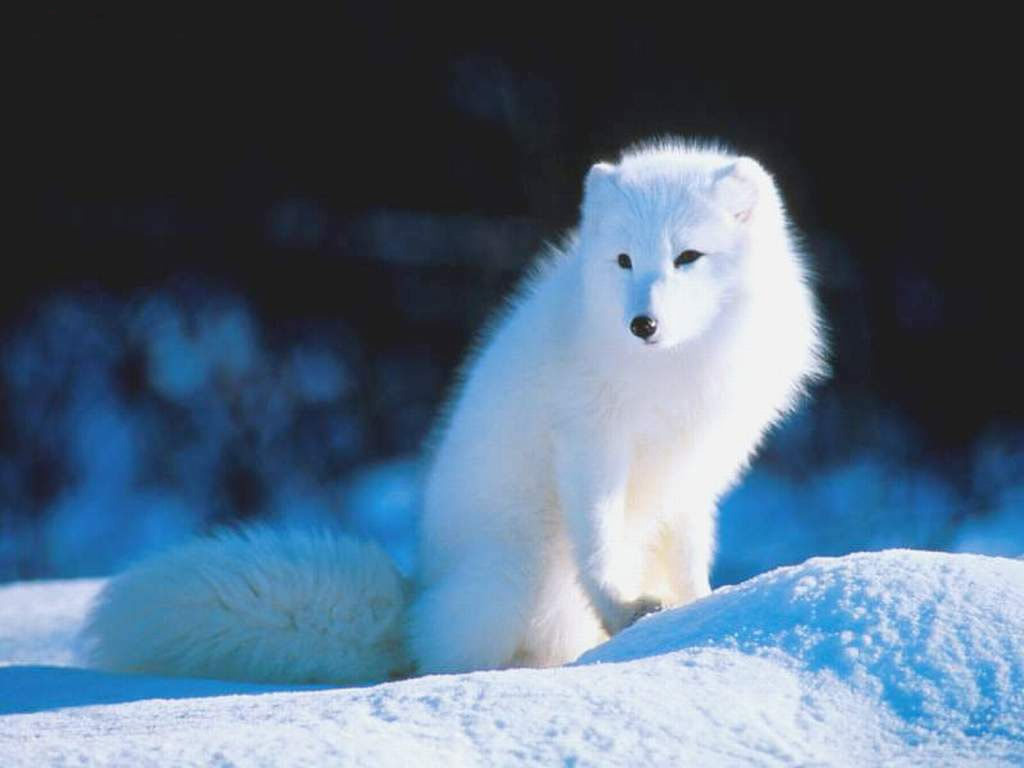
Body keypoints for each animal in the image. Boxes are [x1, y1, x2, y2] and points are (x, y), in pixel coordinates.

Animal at [83, 139, 825, 684]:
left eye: (688, 256)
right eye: (623, 260)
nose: (642, 323)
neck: (673, 372)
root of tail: (414, 601)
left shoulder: (695, 469)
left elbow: (690, 555)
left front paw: (701, 612)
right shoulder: (590, 445)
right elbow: (599, 543)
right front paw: (628, 613)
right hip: (516, 570)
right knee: (444, 659)